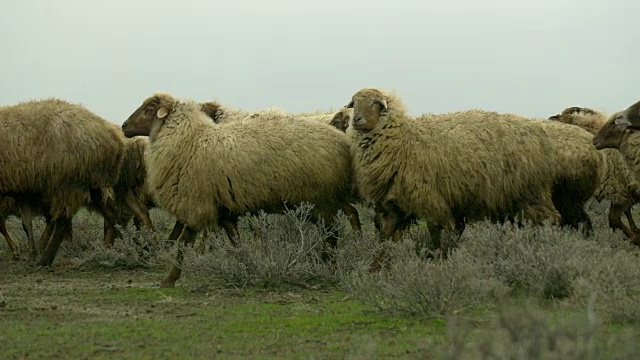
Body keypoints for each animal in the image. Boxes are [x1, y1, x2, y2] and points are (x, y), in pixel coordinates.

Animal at [0, 97, 126, 264]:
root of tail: (114, 138)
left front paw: (26, 253)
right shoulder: (22, 190)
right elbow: (26, 224)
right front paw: (31, 253)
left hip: (68, 184)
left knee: (62, 223)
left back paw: (45, 260)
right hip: (94, 182)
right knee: (114, 216)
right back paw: (134, 244)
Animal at [121, 93, 360, 286]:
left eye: (149, 110)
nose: (123, 126)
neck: (191, 140)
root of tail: (342, 141)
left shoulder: (197, 203)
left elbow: (184, 244)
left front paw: (169, 280)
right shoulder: (224, 209)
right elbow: (236, 241)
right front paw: (247, 264)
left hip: (321, 201)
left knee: (332, 234)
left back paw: (330, 267)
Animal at [344, 88, 600, 245]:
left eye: (376, 103)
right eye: (354, 104)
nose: (356, 120)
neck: (405, 138)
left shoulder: (431, 198)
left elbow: (439, 234)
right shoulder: (399, 201)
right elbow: (386, 235)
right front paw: (376, 267)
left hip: (539, 194)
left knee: (556, 221)